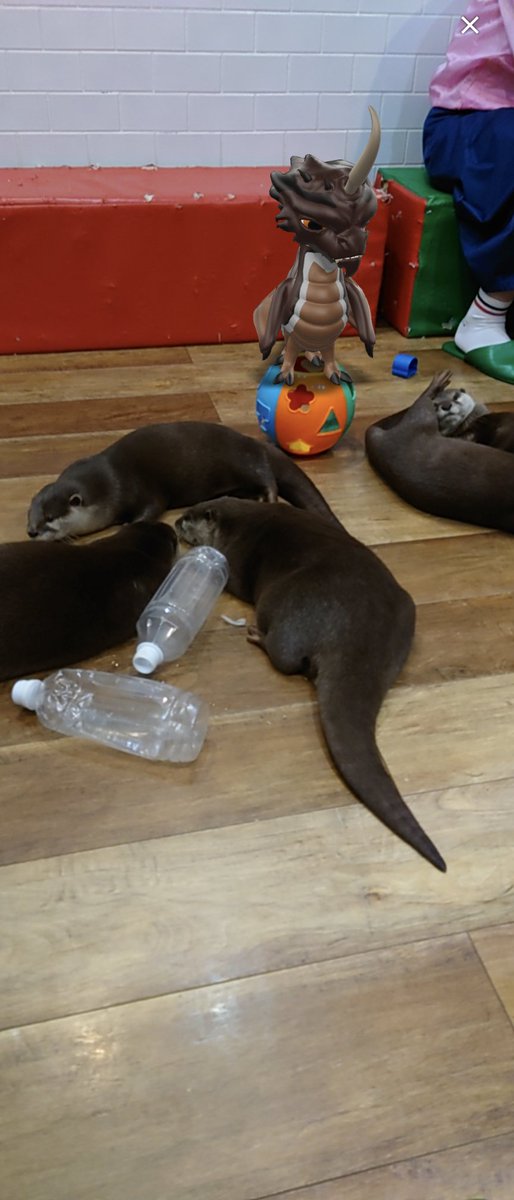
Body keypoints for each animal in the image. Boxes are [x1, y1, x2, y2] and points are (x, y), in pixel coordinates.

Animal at [27, 421, 339, 541]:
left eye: (50, 517)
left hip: (246, 459)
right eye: (31, 515)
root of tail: (254, 441)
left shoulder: (139, 488)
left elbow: (152, 508)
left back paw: (268, 498)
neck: (109, 483)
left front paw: (127, 525)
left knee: (267, 477)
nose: (31, 532)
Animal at [176, 497, 446, 872]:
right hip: (404, 615)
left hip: (284, 604)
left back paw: (256, 636)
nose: (174, 521)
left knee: (285, 656)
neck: (238, 522)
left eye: (188, 518)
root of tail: (354, 637)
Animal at [365, 371, 514, 534]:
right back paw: (437, 382)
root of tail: (384, 445)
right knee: (421, 400)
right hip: (423, 415)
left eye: (456, 397)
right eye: (437, 405)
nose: (446, 405)